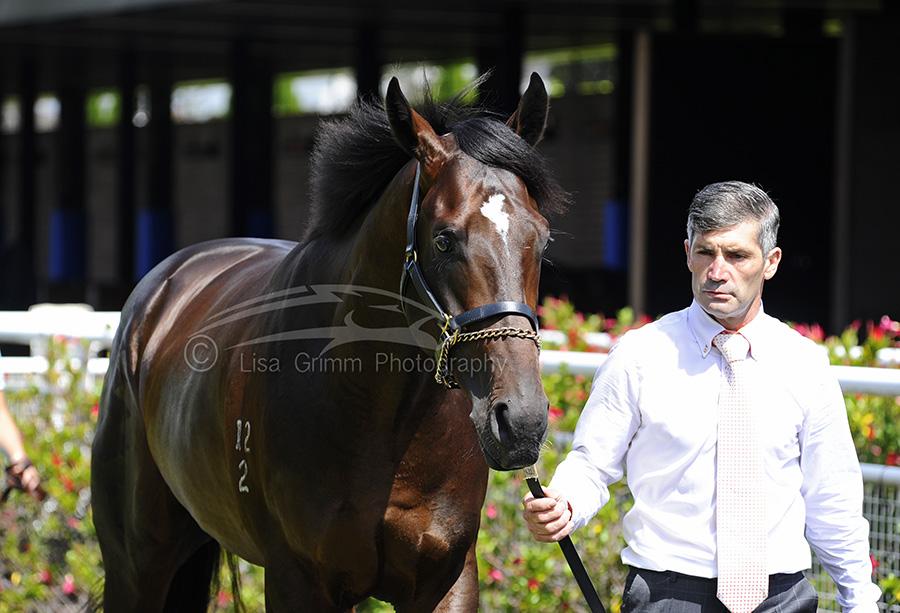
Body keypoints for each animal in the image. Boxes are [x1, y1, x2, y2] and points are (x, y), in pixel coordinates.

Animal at [91, 73, 569, 611]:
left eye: (543, 239)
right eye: (445, 239)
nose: (522, 422)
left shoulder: (447, 576)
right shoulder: (297, 580)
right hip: (137, 564)